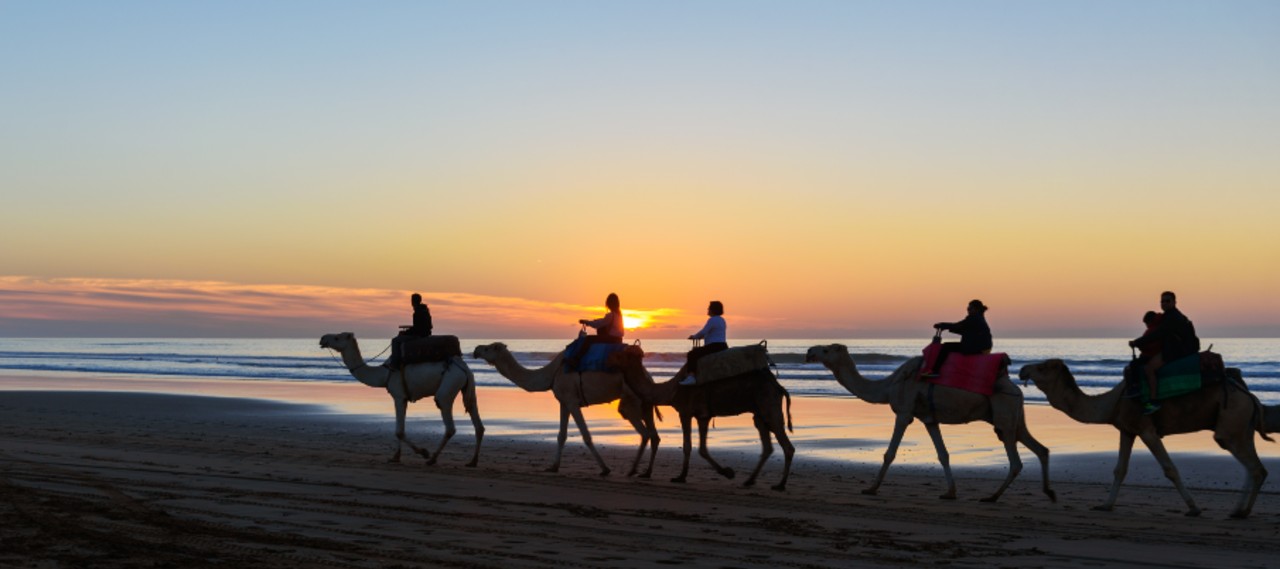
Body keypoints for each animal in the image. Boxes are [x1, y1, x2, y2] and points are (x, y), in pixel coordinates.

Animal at [317, 332, 481, 465]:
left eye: (337, 337)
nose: (322, 338)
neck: (384, 375)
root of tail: (464, 368)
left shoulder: (398, 395)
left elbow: (399, 431)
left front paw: (423, 452)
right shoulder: (403, 398)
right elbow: (399, 429)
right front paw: (395, 457)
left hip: (448, 386)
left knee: (449, 423)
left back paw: (432, 459)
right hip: (467, 388)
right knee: (477, 421)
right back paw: (472, 461)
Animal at [471, 342, 660, 475]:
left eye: (488, 348)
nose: (475, 350)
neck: (552, 373)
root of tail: (648, 377)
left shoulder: (572, 401)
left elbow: (586, 436)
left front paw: (605, 469)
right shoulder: (563, 402)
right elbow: (561, 435)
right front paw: (553, 467)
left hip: (630, 401)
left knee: (644, 433)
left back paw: (633, 470)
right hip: (645, 404)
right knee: (654, 436)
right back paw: (646, 472)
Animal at [803, 342, 1054, 501]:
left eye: (826, 349)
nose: (809, 351)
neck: (888, 386)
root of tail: (1016, 389)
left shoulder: (904, 412)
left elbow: (889, 453)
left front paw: (871, 488)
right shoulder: (929, 419)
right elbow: (943, 454)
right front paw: (950, 492)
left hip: (1005, 416)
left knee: (1016, 461)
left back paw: (992, 497)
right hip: (1015, 418)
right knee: (1041, 449)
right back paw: (1048, 493)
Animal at [1018, 360, 1269, 516]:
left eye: (1042, 367)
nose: (1022, 370)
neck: (1114, 402)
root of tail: (1249, 396)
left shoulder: (1147, 429)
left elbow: (1170, 469)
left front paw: (1193, 508)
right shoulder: (1127, 430)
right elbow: (1120, 469)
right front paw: (1105, 505)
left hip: (1231, 424)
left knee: (1255, 468)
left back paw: (1242, 512)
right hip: (1241, 428)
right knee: (1253, 467)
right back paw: (1238, 510)